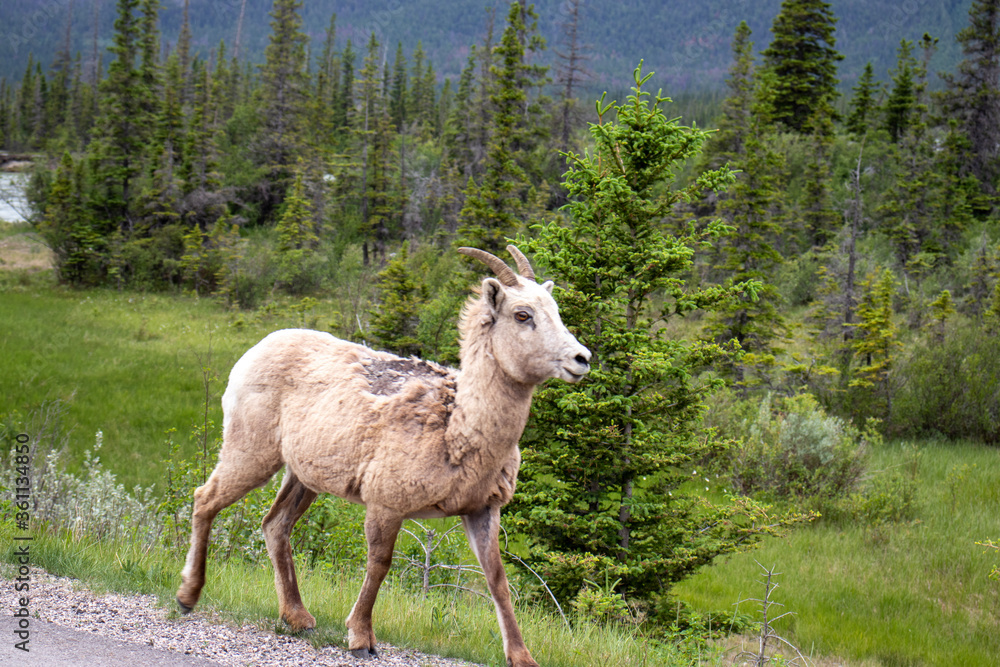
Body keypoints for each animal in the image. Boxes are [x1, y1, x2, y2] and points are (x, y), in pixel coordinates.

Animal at [175, 245, 591, 667]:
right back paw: (188, 596)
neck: (457, 431)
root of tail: (254, 351)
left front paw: (522, 657)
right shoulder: (386, 503)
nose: (581, 359)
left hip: (304, 476)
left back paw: (298, 618)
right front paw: (361, 638)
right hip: (252, 452)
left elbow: (497, 580)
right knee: (205, 499)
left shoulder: (482, 509)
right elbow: (379, 564)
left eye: (556, 310)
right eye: (523, 315)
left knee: (275, 525)